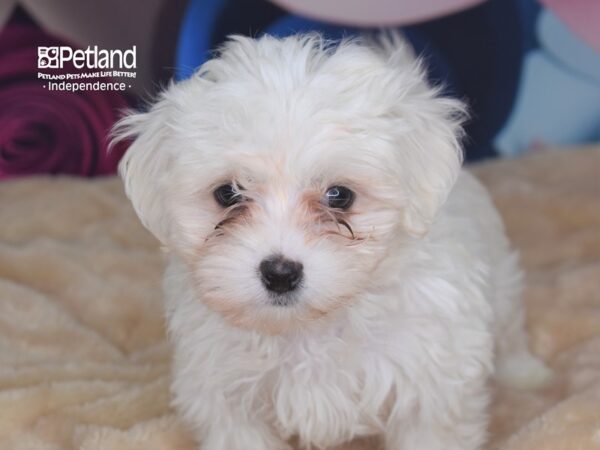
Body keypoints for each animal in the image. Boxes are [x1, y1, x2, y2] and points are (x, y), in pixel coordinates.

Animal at [112, 32, 548, 450]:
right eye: (228, 194)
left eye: (339, 196)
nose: (280, 273)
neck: (312, 327)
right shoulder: (225, 392)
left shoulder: (430, 381)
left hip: (501, 279)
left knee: (509, 329)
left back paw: (527, 374)